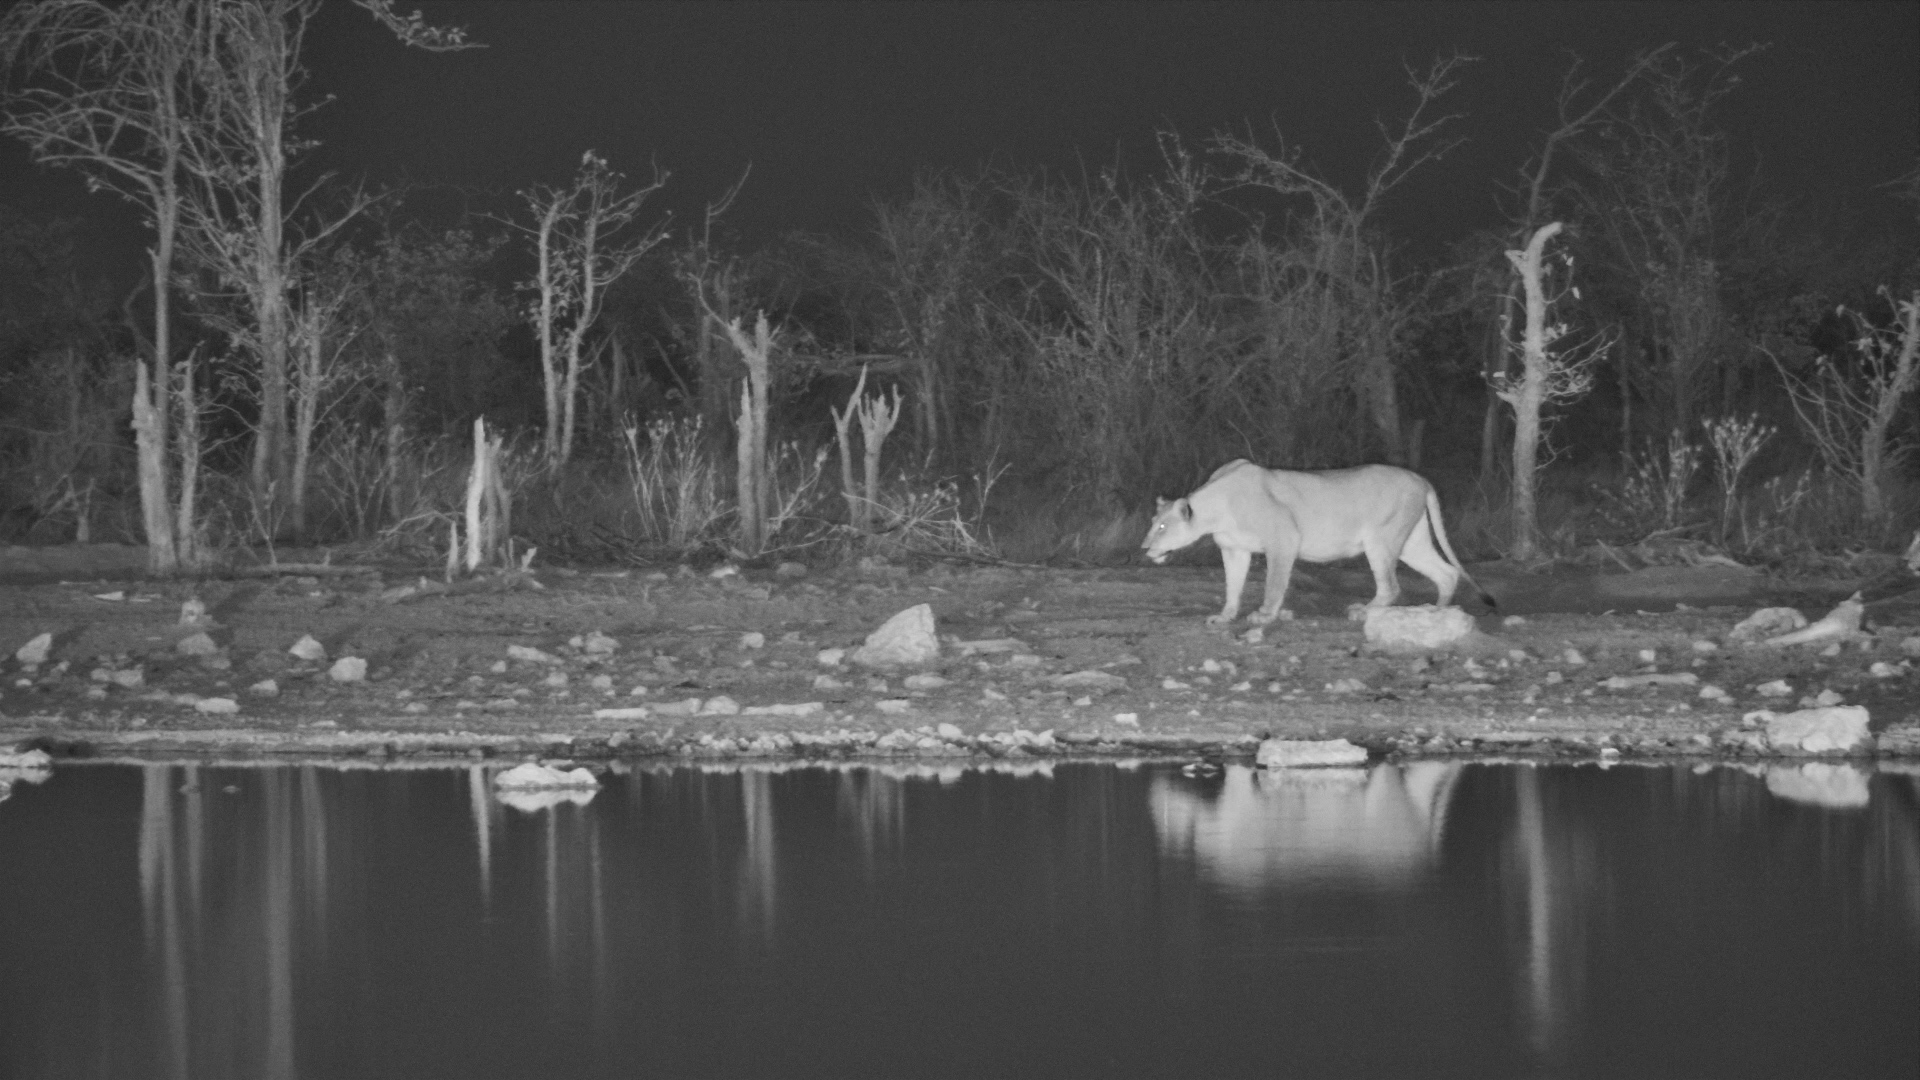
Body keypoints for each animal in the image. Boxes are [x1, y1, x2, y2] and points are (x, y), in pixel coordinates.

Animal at [1142, 458, 1492, 625]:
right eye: (1152, 523)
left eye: (1162, 526)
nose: (1144, 548)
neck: (1217, 506)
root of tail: (1421, 479)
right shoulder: (1234, 549)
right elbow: (1233, 586)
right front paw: (1225, 616)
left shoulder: (1284, 539)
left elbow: (1274, 584)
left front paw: (1264, 615)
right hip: (1410, 543)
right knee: (1446, 573)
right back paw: (1437, 614)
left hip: (1381, 539)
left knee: (1391, 586)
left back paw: (1365, 611)